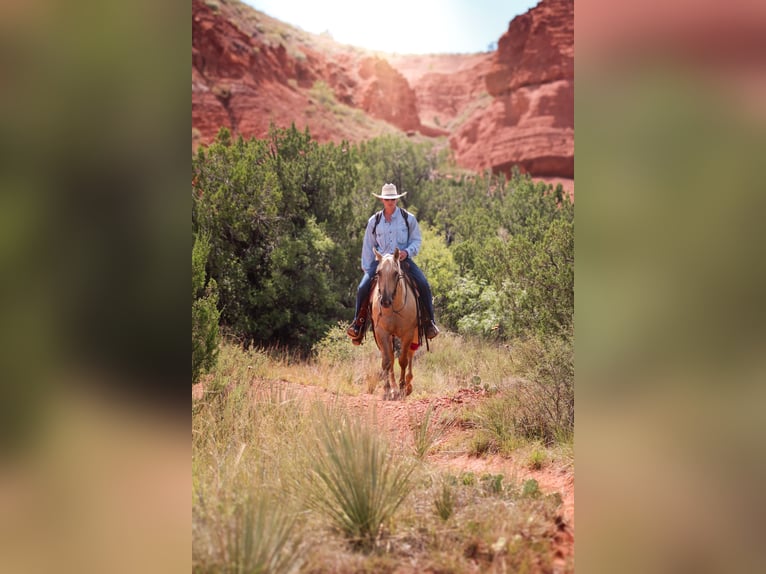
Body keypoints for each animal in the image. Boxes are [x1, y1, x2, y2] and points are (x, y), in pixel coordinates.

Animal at [370, 247, 419, 400]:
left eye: (396, 273)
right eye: (378, 272)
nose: (385, 301)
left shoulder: (408, 333)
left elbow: (403, 360)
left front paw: (403, 386)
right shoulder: (382, 332)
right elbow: (387, 361)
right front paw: (388, 389)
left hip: (415, 335)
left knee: (411, 353)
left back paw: (408, 384)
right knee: (391, 357)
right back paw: (393, 388)